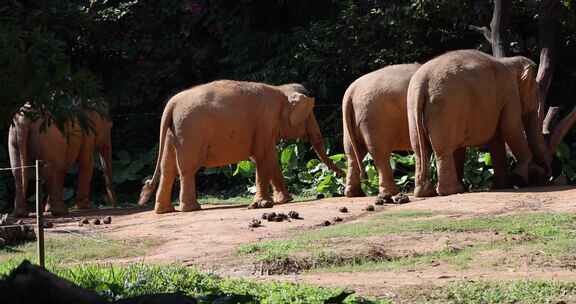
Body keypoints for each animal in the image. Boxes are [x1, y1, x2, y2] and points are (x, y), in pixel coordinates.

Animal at [138, 81, 342, 214]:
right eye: (309, 115)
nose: (342, 173)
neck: (280, 89)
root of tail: (170, 105)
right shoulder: (265, 120)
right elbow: (262, 156)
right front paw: (264, 204)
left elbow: (271, 159)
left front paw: (285, 200)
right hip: (189, 132)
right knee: (187, 169)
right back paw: (191, 208)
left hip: (173, 133)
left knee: (168, 169)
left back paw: (164, 210)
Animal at [344, 63, 420, 202]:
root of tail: (351, 91)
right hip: (374, 118)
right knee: (380, 153)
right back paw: (391, 194)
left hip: (354, 121)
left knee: (352, 153)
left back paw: (354, 194)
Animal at [408, 50, 552, 197]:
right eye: (535, 93)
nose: (547, 174)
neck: (510, 61)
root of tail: (422, 81)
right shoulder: (510, 93)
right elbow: (511, 129)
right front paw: (520, 177)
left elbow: (496, 139)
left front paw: (501, 186)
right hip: (445, 108)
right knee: (443, 150)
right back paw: (452, 191)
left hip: (415, 109)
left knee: (420, 150)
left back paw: (426, 192)